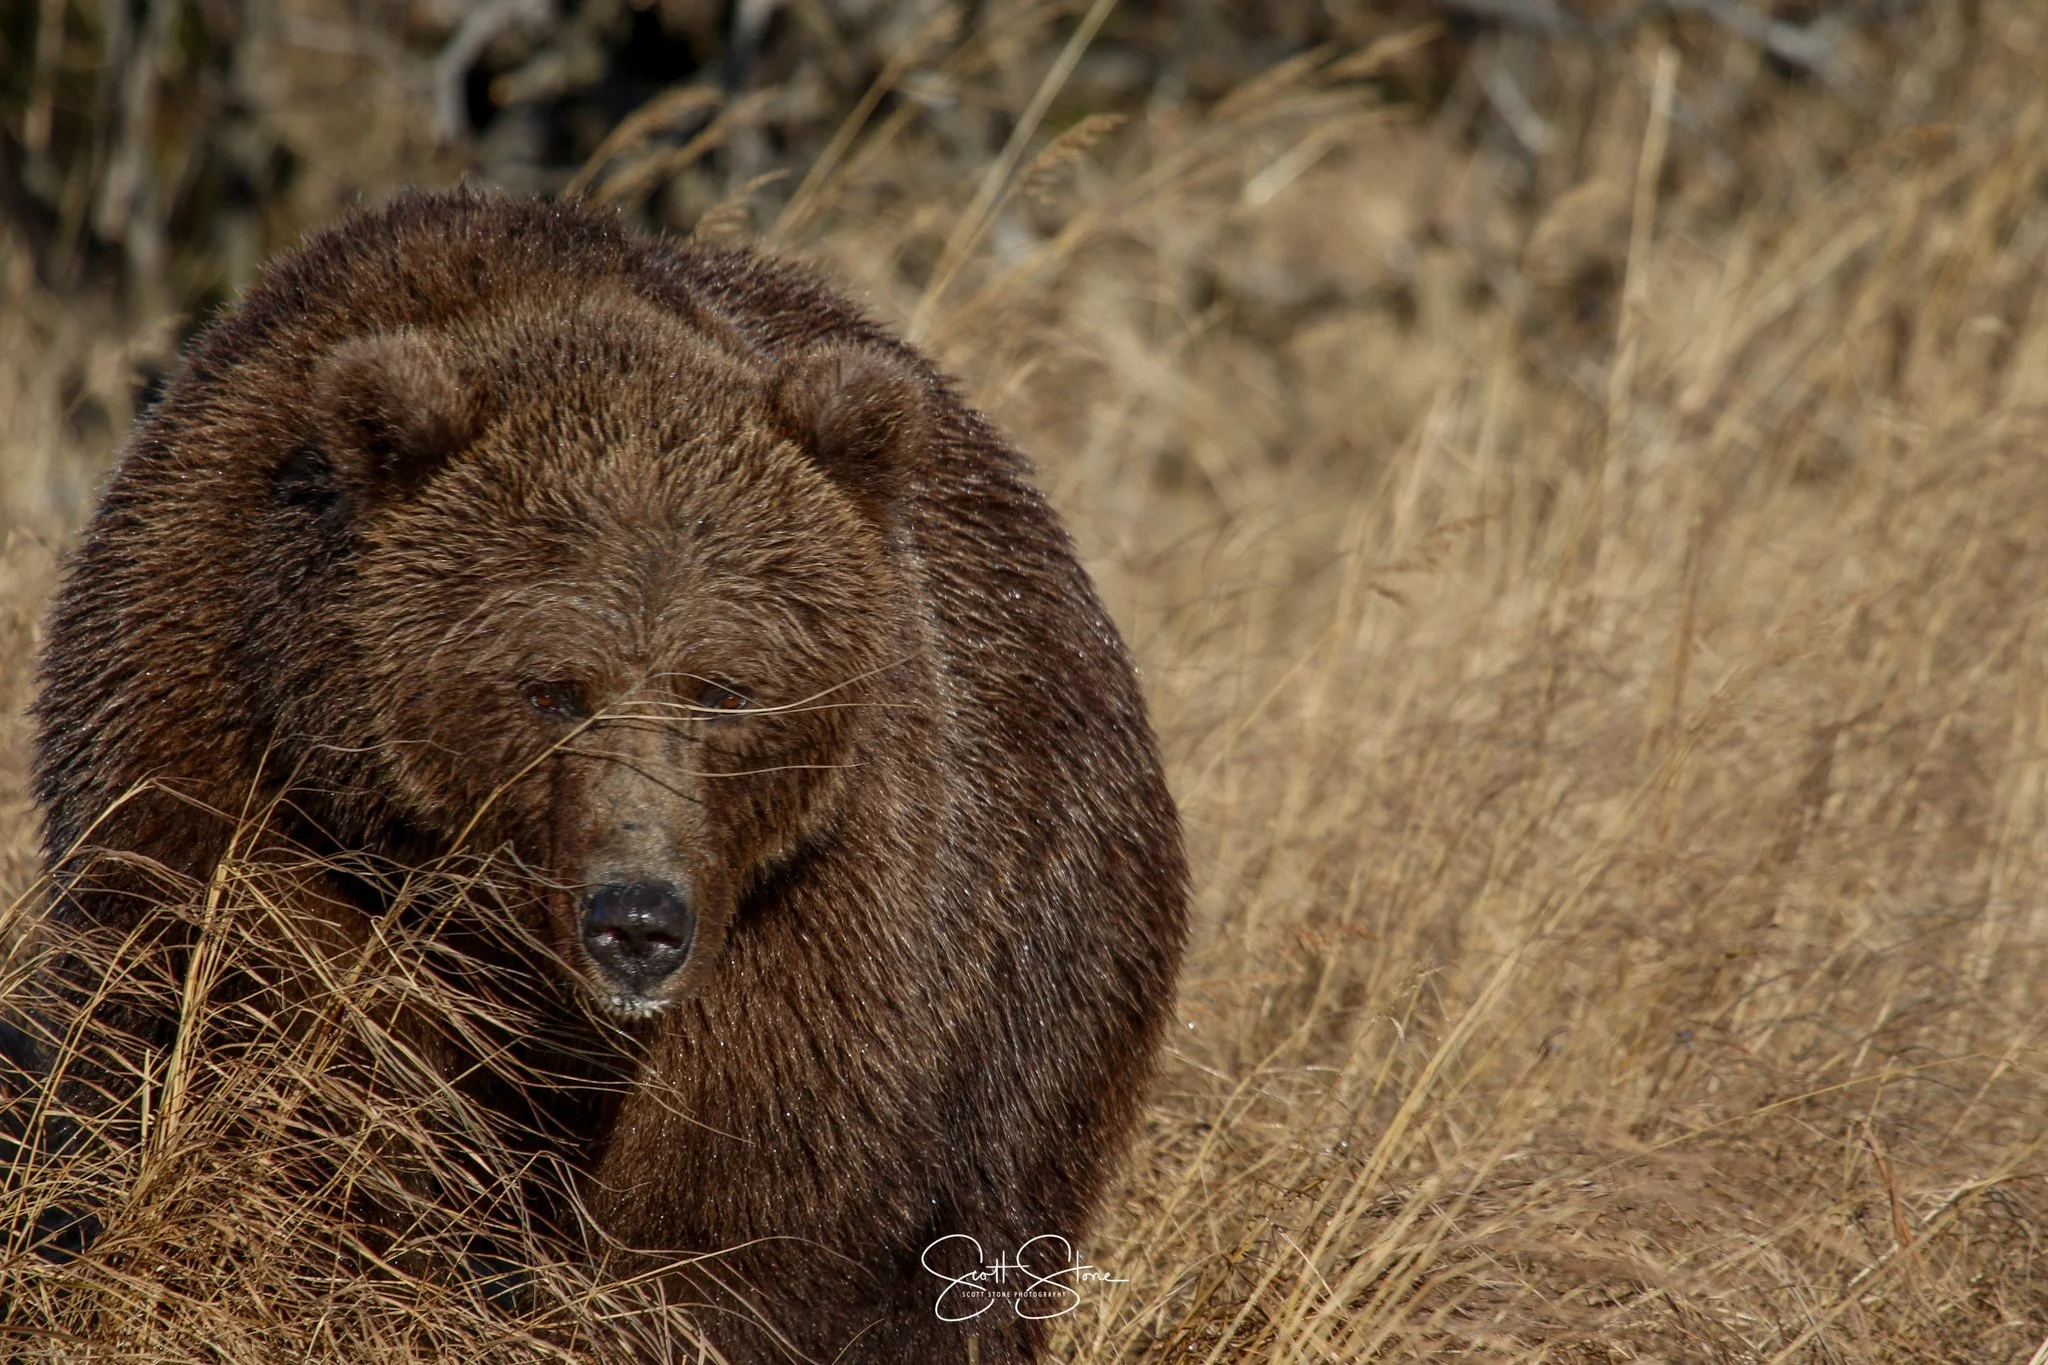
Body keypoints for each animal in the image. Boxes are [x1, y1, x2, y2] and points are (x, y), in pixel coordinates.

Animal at [24, 189, 1187, 1362]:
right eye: (551, 688)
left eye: (723, 688)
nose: (637, 922)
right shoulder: (233, 780)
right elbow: (276, 1072)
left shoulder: (825, 892)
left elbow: (745, 1198)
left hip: (1041, 947)